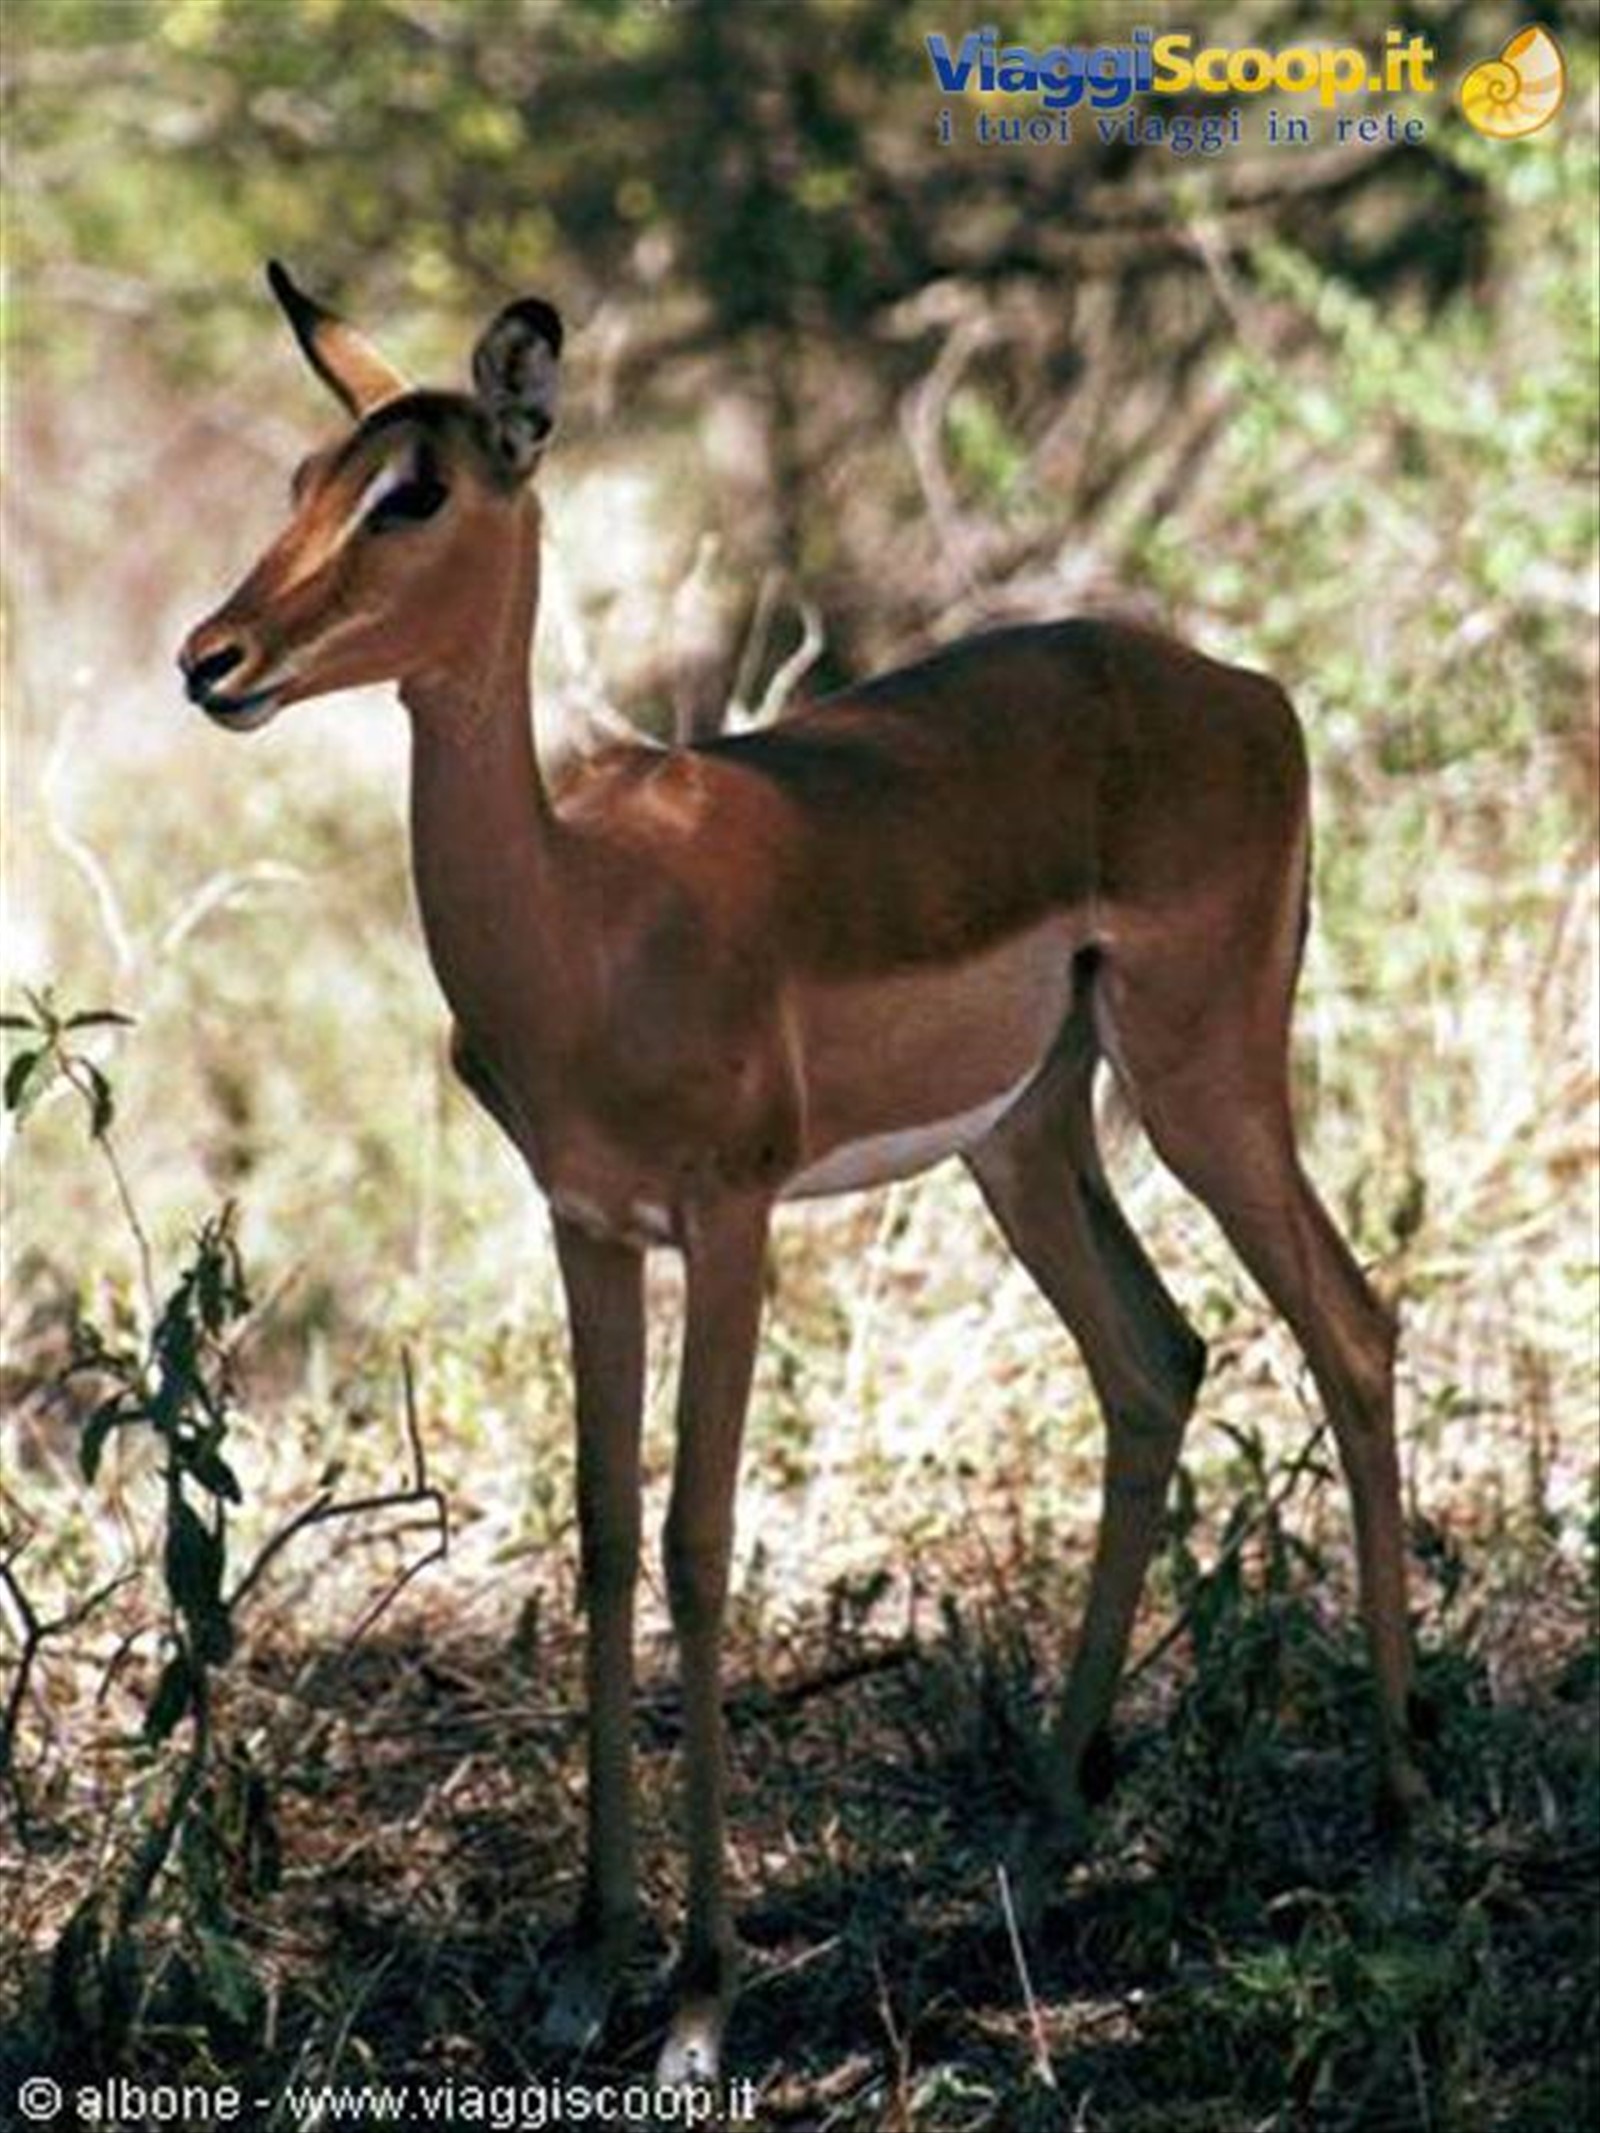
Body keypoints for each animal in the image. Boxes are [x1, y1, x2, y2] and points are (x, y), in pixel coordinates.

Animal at [179, 266, 1424, 2084]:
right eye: (297, 474)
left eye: (414, 489)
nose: (215, 659)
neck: (581, 921)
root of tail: (1243, 689)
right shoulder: (589, 1227)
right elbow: (603, 1536)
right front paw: (586, 1964)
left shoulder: (733, 1217)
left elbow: (700, 1545)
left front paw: (698, 1996)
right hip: (1026, 1135)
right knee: (1157, 1360)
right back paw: (1042, 1830)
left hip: (1205, 1081)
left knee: (1351, 1327)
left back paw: (1397, 1822)